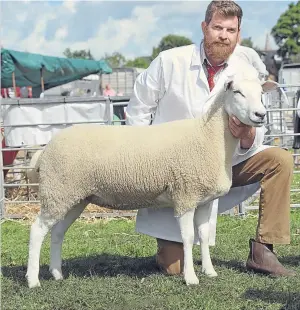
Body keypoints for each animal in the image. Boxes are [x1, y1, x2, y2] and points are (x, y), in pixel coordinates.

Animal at [24, 72, 278, 288]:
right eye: (237, 92)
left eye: (261, 93)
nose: (260, 115)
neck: (209, 137)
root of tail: (45, 149)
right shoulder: (185, 195)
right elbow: (188, 238)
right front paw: (190, 278)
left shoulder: (204, 200)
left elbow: (204, 236)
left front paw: (209, 271)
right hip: (59, 190)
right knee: (37, 230)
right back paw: (33, 280)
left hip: (73, 197)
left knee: (57, 232)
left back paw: (57, 273)